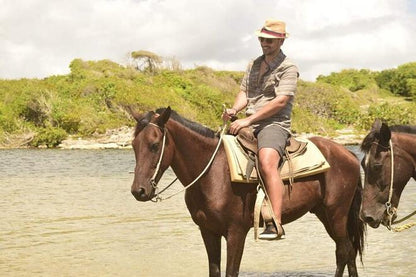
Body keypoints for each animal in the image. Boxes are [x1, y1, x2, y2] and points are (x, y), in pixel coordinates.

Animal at [130, 106, 364, 276]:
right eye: (133, 145)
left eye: (154, 144)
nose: (138, 191)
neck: (212, 172)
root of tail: (348, 154)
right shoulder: (208, 232)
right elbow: (214, 271)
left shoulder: (236, 233)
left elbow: (231, 272)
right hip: (325, 214)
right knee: (347, 252)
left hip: (336, 214)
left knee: (344, 251)